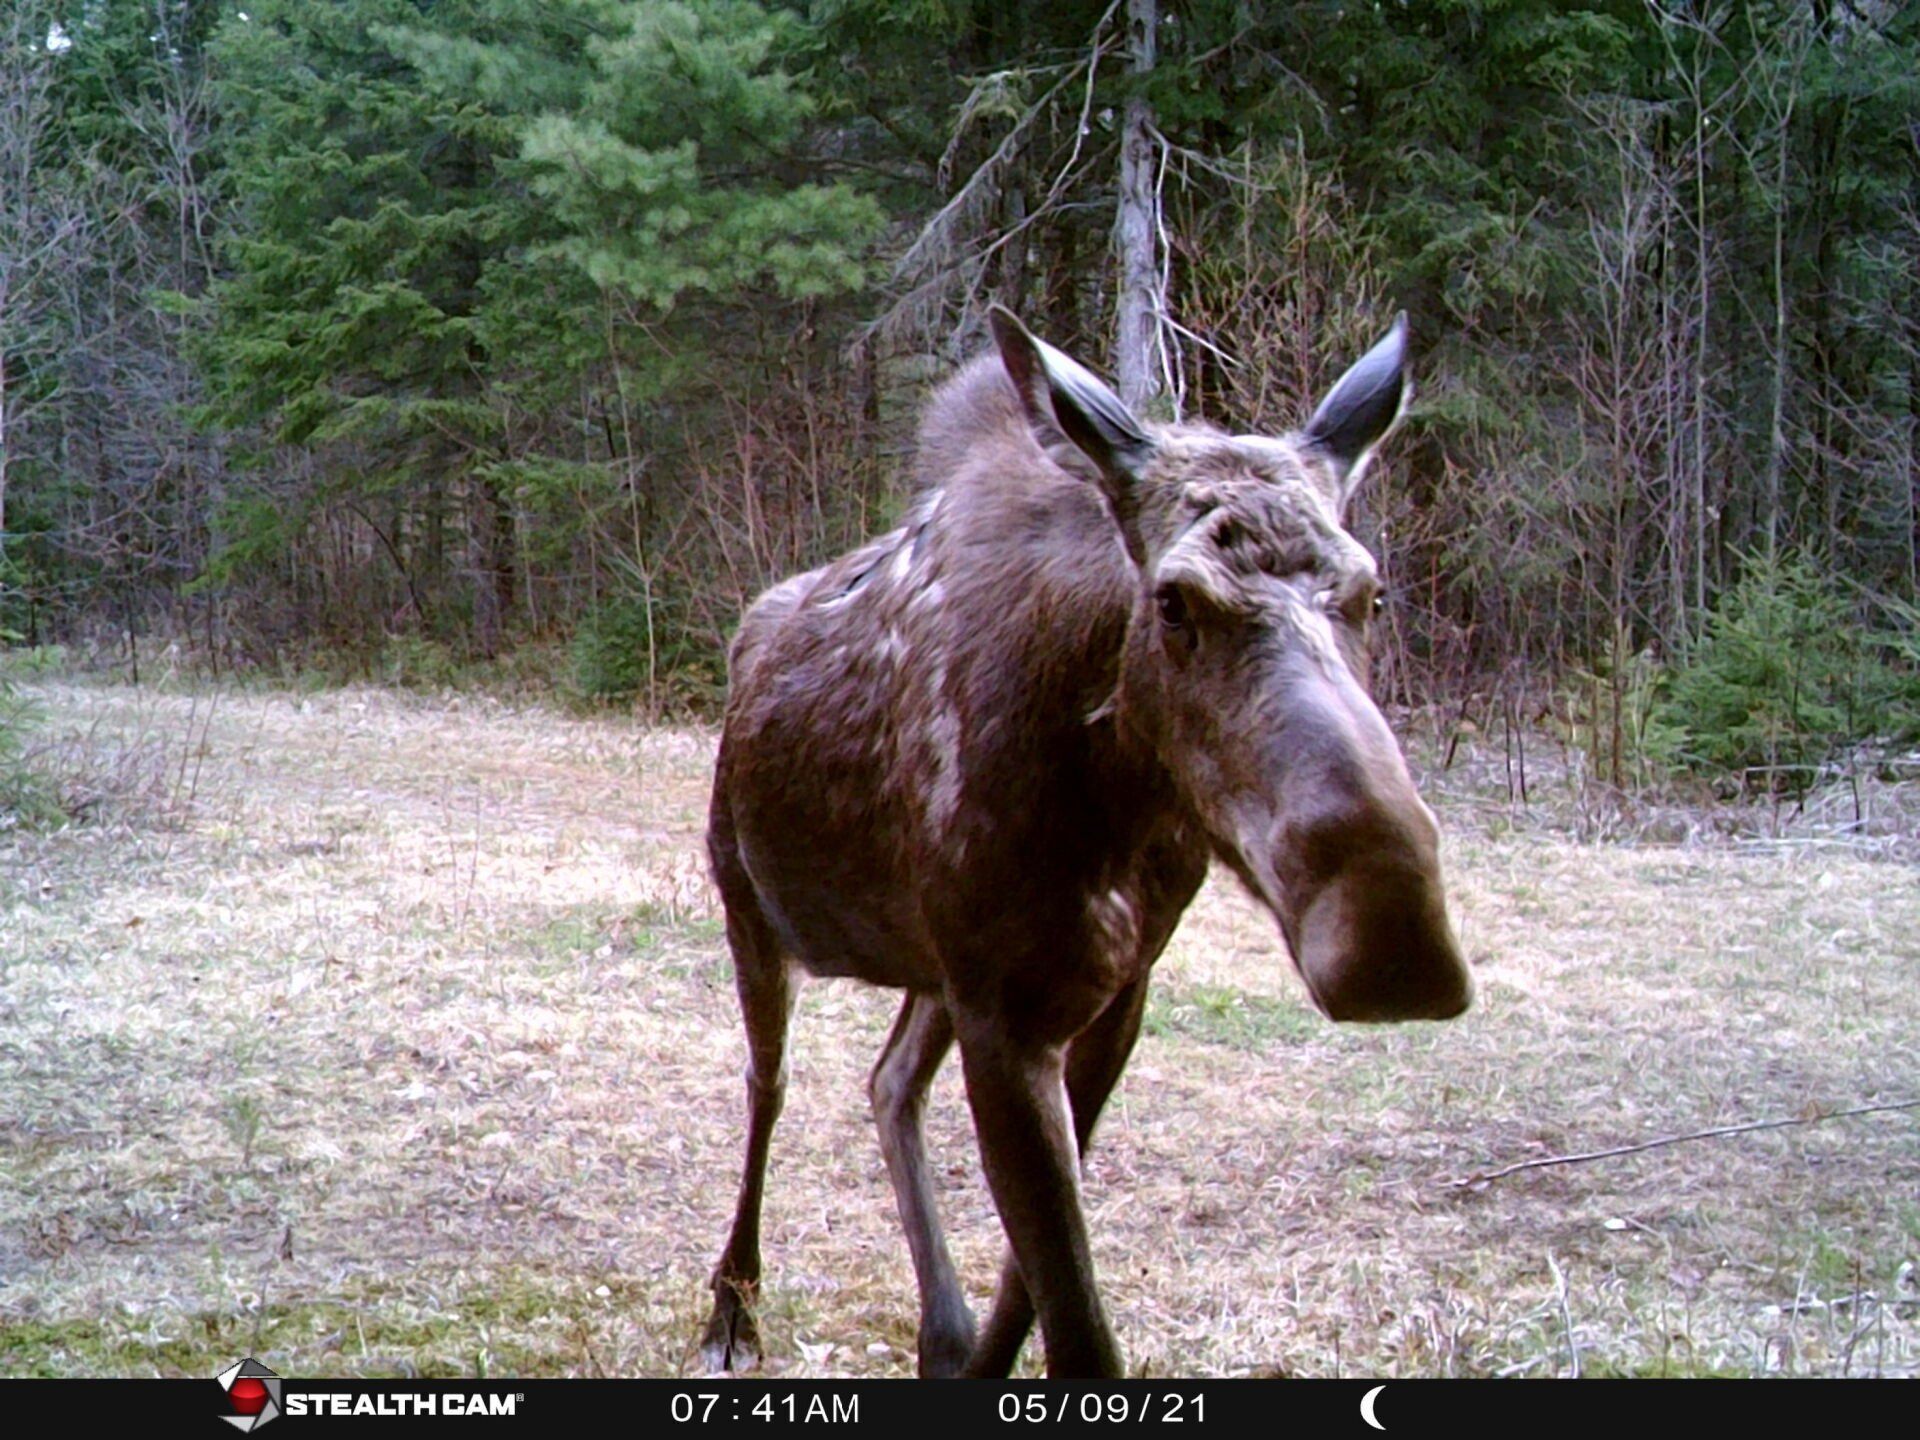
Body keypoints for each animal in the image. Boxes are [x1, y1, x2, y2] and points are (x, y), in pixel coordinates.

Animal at [698, 306, 1472, 1379]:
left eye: (1371, 594)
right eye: (1174, 599)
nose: (1394, 936)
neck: (1114, 812)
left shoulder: (1101, 994)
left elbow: (1033, 1292)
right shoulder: (1006, 1009)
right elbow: (1074, 1324)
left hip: (933, 968)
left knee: (888, 1081)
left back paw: (939, 1330)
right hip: (751, 907)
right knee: (767, 1085)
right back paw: (734, 1309)